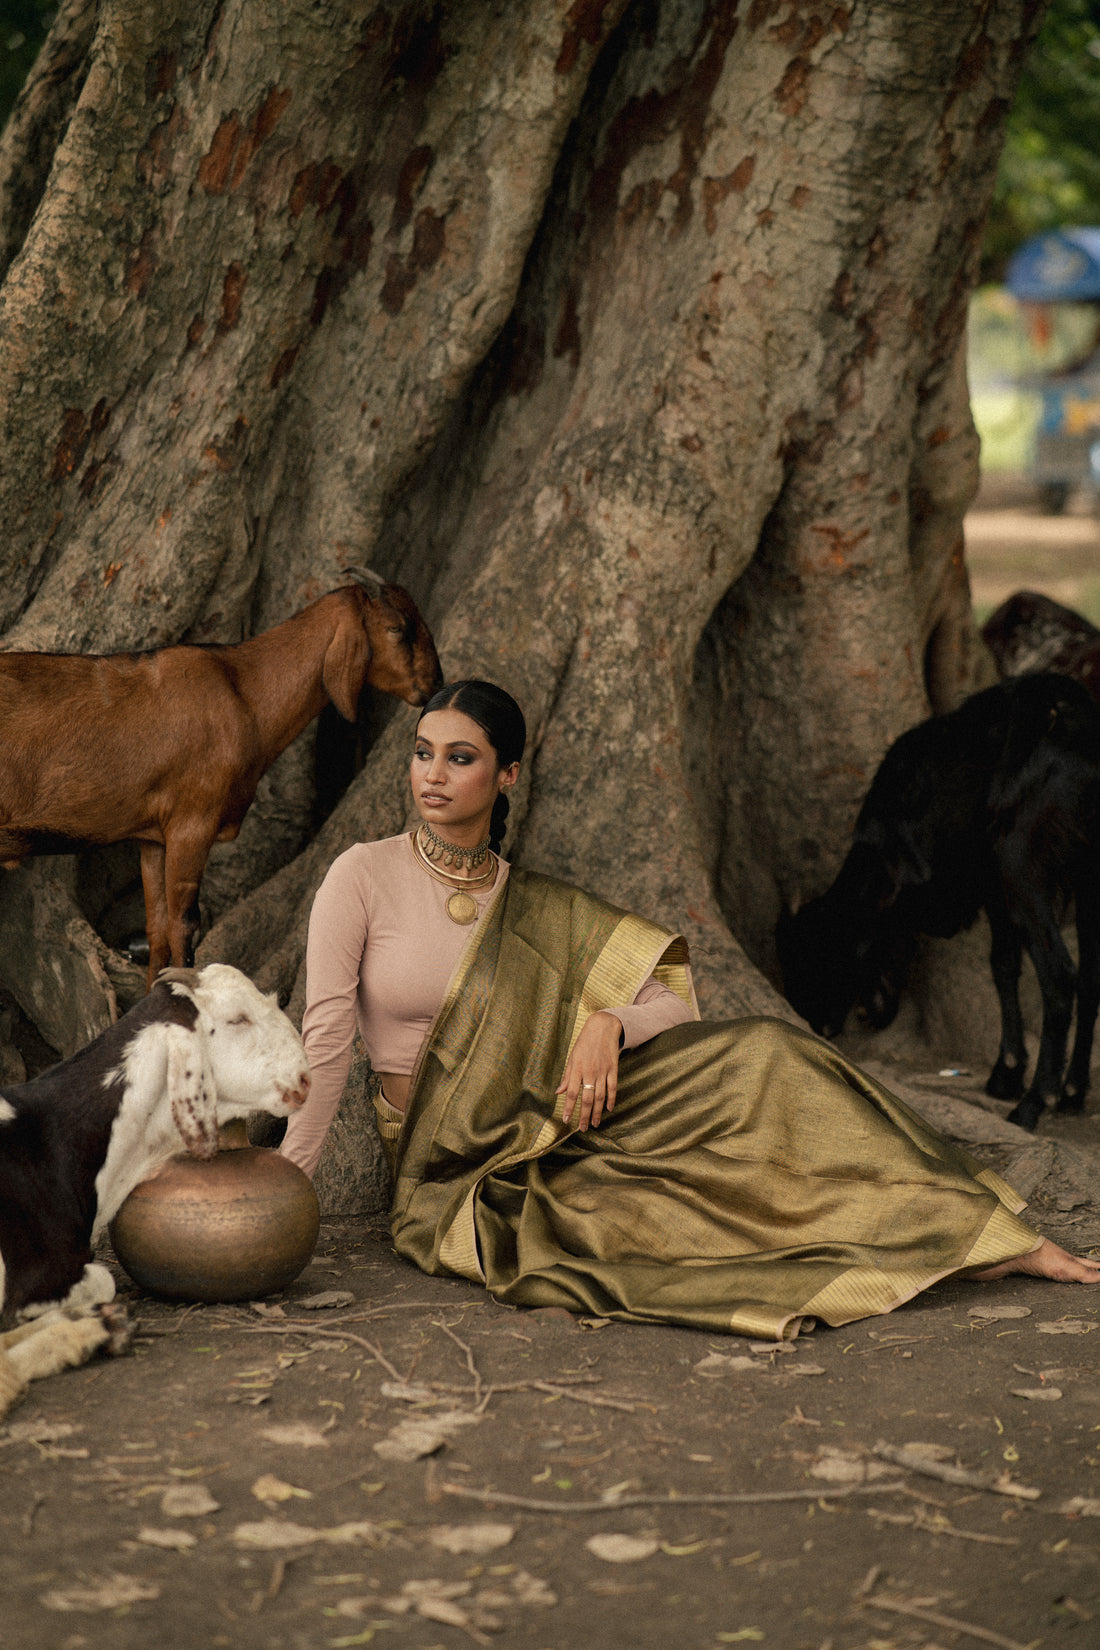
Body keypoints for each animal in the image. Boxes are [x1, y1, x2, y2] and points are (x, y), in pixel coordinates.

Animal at [0, 580, 441, 976]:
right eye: (397, 628)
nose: (434, 684)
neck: (244, 691)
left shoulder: (152, 837)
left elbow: (156, 928)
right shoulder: (192, 823)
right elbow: (183, 926)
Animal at [775, 676, 1100, 1128]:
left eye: (813, 960)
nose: (818, 1025)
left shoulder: (990, 880)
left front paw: (1012, 1077)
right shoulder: (993, 890)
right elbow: (1004, 965)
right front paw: (1006, 1071)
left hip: (1021, 864)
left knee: (1060, 977)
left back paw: (1034, 1103)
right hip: (1087, 876)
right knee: (1090, 975)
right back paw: (1072, 1092)